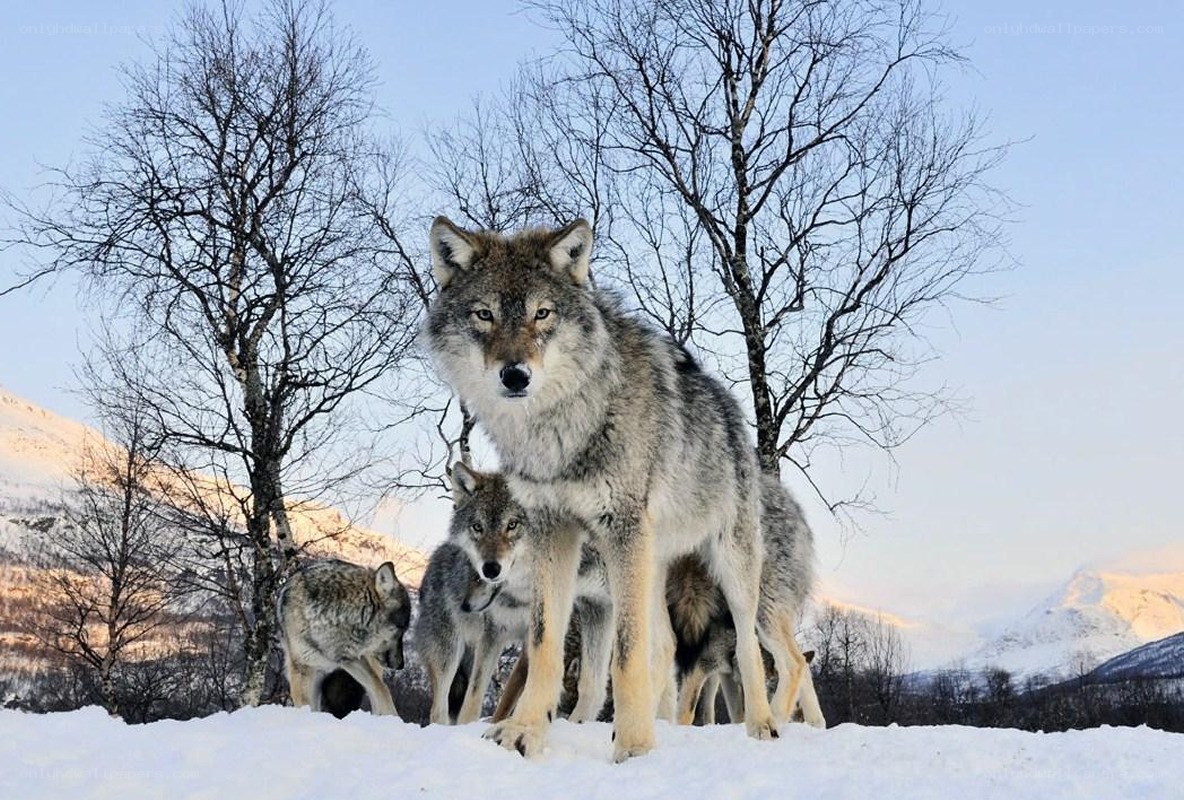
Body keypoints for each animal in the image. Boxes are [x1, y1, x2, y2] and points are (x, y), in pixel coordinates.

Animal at [277, 557, 411, 716]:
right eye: (401, 629)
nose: (401, 665)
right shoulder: (305, 670)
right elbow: (308, 706)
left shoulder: (353, 659)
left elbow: (381, 689)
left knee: (377, 687)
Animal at [416, 462, 613, 726]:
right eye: (477, 527)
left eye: (512, 525)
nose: (465, 605)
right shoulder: (494, 635)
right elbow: (476, 698)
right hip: (448, 652)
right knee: (438, 708)